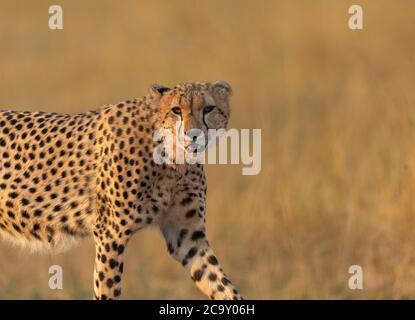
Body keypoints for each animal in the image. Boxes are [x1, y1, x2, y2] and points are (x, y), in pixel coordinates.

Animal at [0, 80, 244, 300]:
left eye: (209, 109)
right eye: (176, 110)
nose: (193, 135)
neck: (173, 161)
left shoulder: (187, 235)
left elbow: (220, 284)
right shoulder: (110, 233)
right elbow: (108, 287)